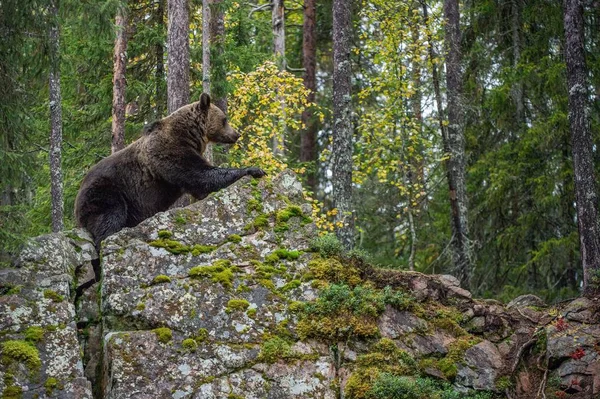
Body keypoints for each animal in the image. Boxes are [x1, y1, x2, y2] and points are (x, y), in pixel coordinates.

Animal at [73, 94, 264, 250]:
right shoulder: (170, 151)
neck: (191, 135)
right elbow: (200, 175)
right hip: (106, 191)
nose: (236, 134)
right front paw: (254, 169)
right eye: (225, 119)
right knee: (111, 215)